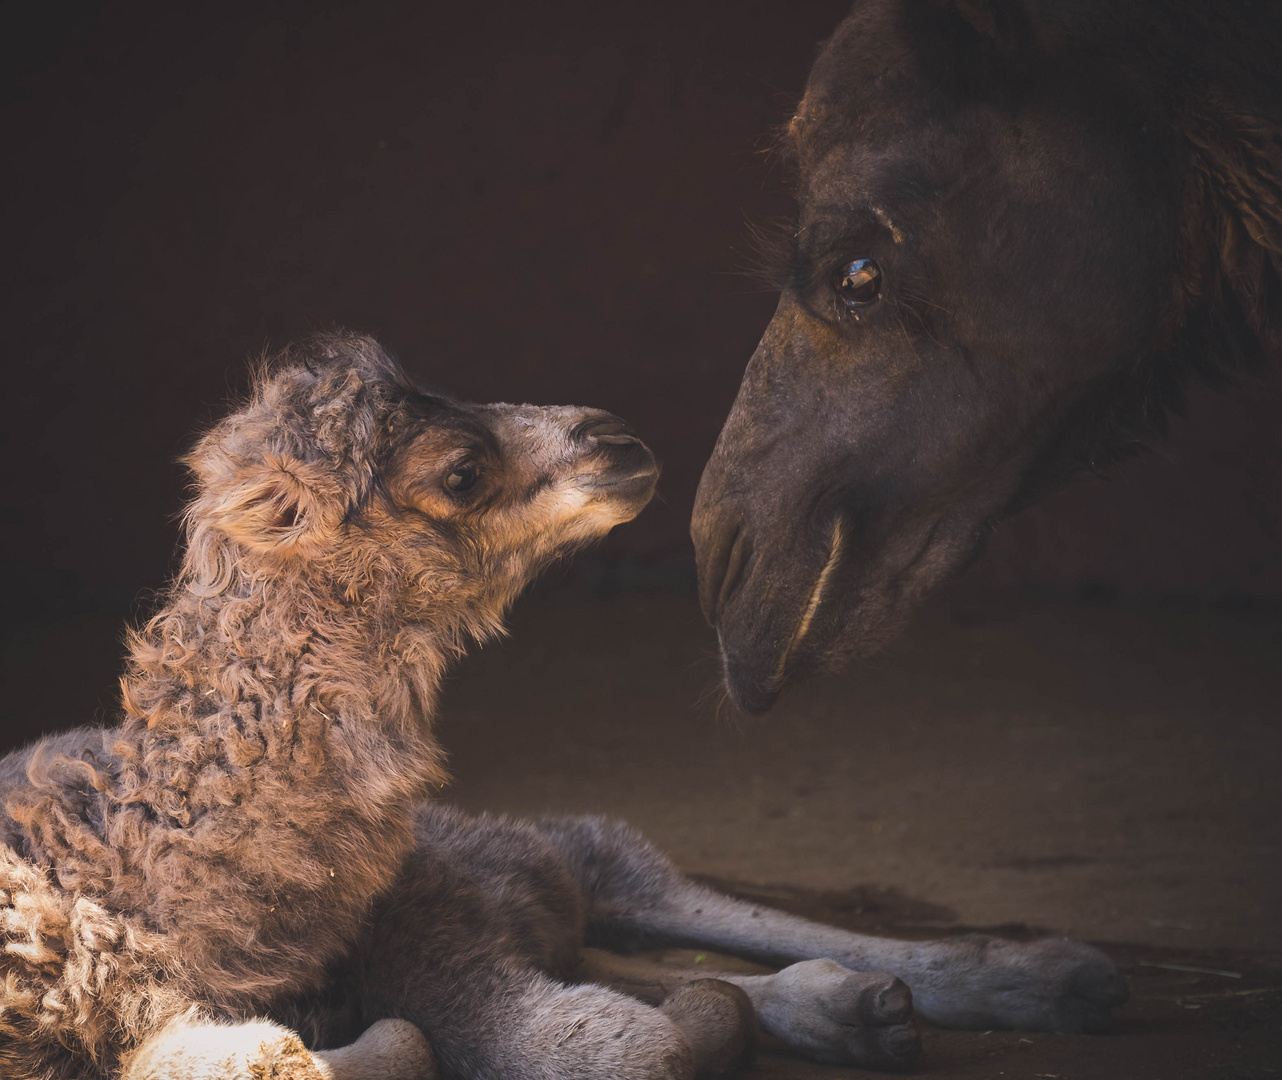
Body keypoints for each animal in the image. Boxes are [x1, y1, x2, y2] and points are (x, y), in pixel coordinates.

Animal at [0, 333, 1123, 1072]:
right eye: (459, 470)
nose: (617, 438)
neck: (133, 858)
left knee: (602, 864)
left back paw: (1046, 979)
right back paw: (879, 1007)